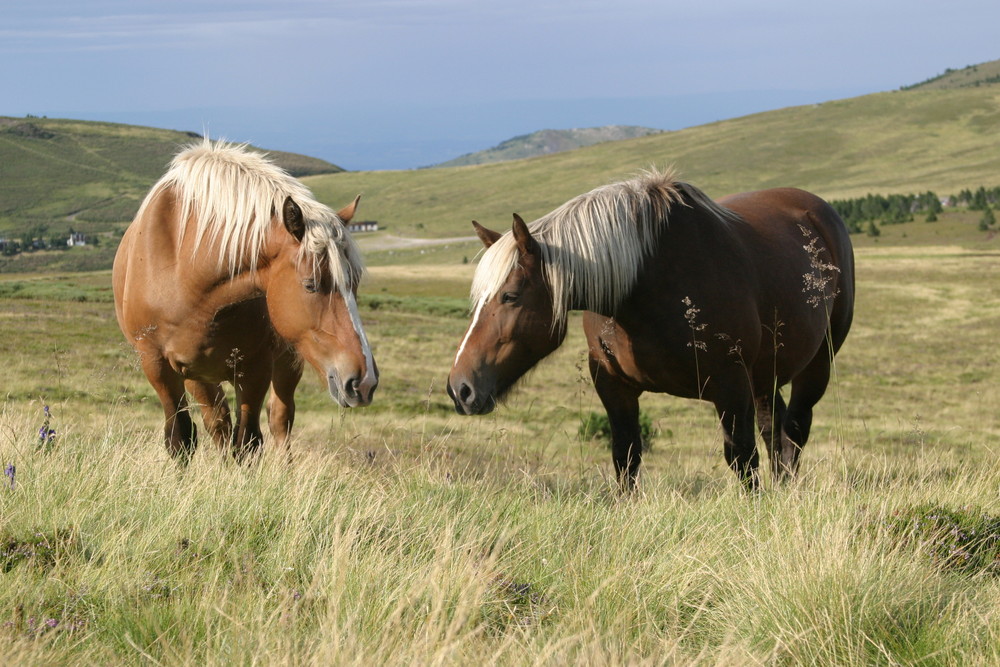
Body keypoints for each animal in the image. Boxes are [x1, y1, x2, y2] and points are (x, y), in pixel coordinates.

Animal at [113, 141, 376, 462]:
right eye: (311, 285)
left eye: (355, 283)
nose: (363, 380)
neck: (184, 273)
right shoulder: (157, 366)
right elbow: (181, 438)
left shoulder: (255, 368)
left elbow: (247, 442)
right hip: (198, 375)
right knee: (218, 423)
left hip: (288, 359)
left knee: (279, 419)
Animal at [450, 170, 856, 494]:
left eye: (510, 296)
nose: (460, 388)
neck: (649, 282)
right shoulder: (612, 383)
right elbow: (626, 456)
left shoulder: (731, 384)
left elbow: (742, 457)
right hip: (763, 376)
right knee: (776, 430)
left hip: (815, 364)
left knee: (794, 431)